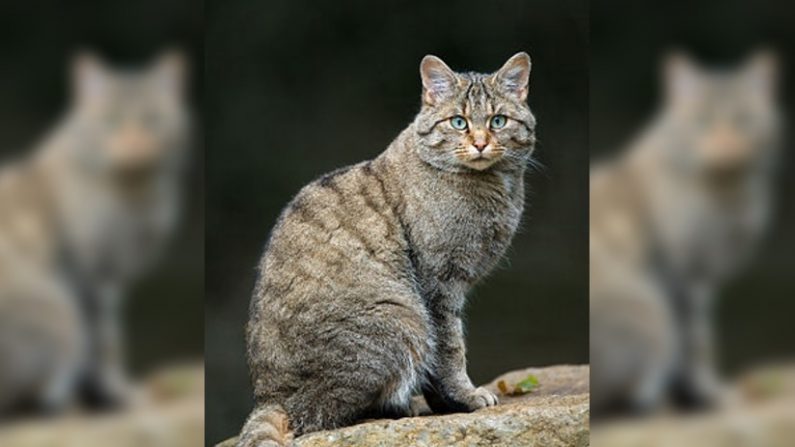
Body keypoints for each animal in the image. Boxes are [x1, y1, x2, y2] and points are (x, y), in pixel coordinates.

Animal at [0, 50, 190, 416]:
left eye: (153, 120)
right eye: (110, 121)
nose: (134, 145)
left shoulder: (111, 277)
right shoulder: (88, 273)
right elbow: (103, 342)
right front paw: (117, 393)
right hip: (59, 314)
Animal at [236, 50, 536, 446]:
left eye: (498, 120)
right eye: (458, 122)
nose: (481, 142)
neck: (494, 188)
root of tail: (268, 397)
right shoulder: (439, 284)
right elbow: (449, 350)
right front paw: (464, 397)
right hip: (403, 320)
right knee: (322, 412)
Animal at [592, 50, 784, 414]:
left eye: (744, 121)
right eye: (701, 122)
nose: (727, 148)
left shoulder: (702, 278)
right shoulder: (683, 274)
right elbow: (695, 341)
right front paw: (708, 393)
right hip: (650, 315)